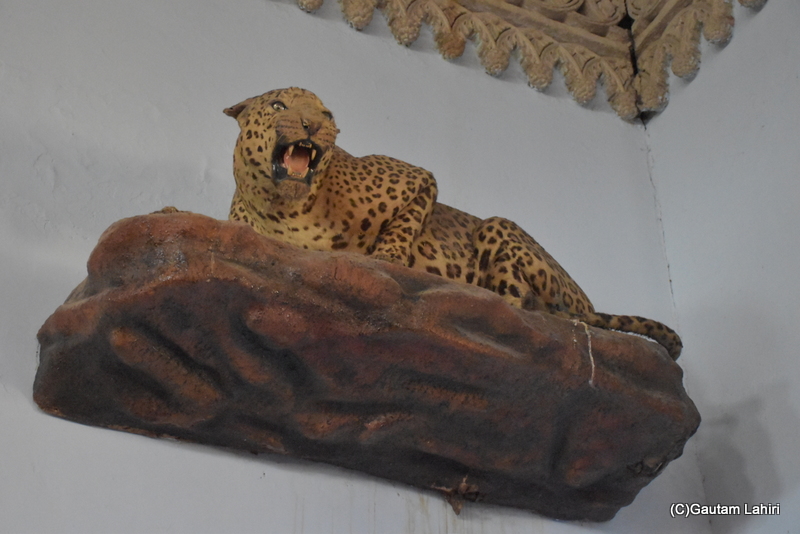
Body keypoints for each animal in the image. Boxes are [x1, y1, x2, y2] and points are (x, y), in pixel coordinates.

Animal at [224, 87, 682, 359]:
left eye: (327, 112)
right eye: (279, 106)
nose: (315, 125)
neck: (287, 208)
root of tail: (587, 303)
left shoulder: (416, 177)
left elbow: (406, 223)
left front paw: (389, 257)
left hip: (500, 228)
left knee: (528, 306)